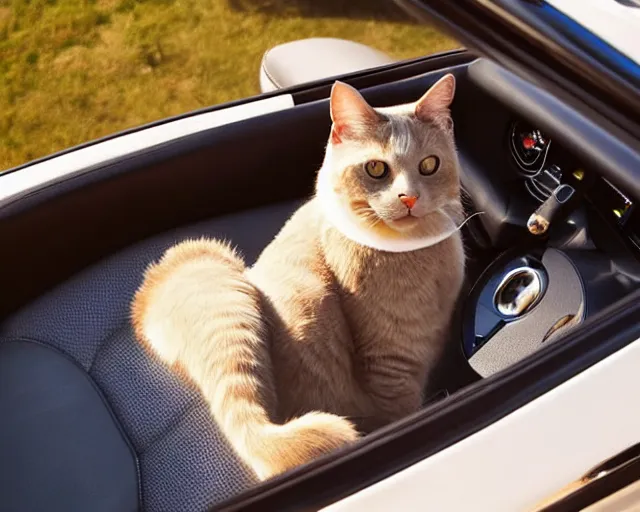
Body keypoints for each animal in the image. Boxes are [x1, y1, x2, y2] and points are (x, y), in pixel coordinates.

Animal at [132, 74, 464, 482]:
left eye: (429, 165)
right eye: (376, 169)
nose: (409, 198)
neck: (419, 252)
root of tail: (146, 306)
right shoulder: (391, 367)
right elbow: (402, 411)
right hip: (224, 298)